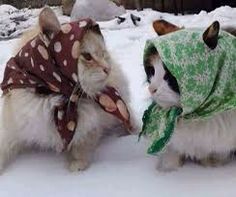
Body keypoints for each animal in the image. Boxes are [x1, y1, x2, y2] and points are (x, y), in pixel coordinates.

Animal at [0, 6, 135, 172]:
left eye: (103, 54)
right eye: (87, 56)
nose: (107, 69)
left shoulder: (92, 125)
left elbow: (82, 145)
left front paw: (76, 165)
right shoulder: (12, 128)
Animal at [147, 19, 236, 172]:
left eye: (169, 76)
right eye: (152, 71)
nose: (151, 89)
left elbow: (216, 156)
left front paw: (209, 164)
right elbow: (173, 154)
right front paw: (168, 169)